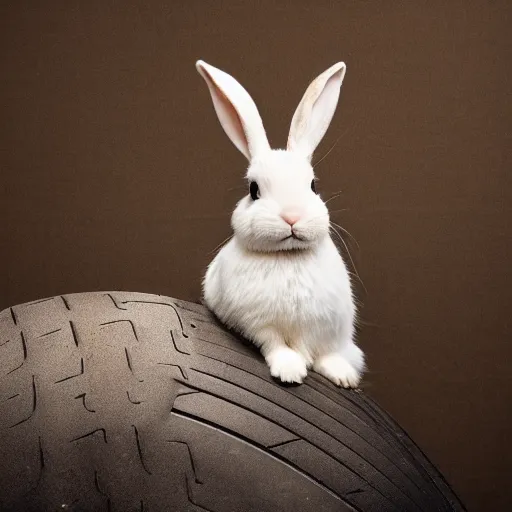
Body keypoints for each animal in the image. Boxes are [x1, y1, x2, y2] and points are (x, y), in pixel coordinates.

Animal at [196, 59, 364, 388]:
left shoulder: (326, 328)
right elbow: (276, 346)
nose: (292, 217)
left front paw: (344, 377)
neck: (288, 257)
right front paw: (290, 372)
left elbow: (326, 353)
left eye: (313, 185)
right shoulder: (261, 326)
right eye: (253, 190)